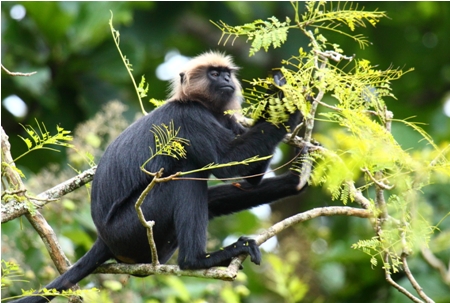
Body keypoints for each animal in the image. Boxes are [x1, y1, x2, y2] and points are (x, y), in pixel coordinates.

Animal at [11, 51, 306, 302]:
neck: (200, 104)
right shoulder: (189, 117)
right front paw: (286, 96)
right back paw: (198, 260)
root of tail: (103, 238)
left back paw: (294, 182)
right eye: (213, 73)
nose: (225, 80)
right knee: (183, 176)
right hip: (130, 229)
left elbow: (249, 177)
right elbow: (229, 164)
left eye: (226, 74)